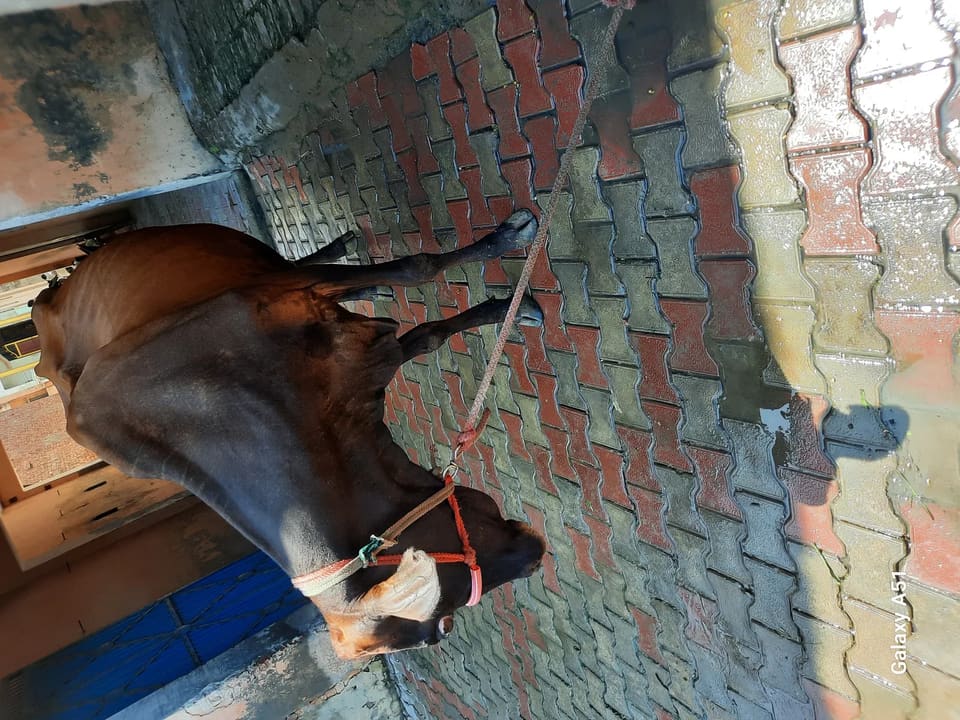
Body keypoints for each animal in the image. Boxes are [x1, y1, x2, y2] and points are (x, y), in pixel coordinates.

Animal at [31, 210, 548, 659]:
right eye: (443, 624)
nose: (538, 556)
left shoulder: (278, 293)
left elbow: (415, 272)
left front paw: (508, 261)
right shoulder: (354, 355)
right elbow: (422, 323)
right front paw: (505, 297)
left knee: (309, 263)